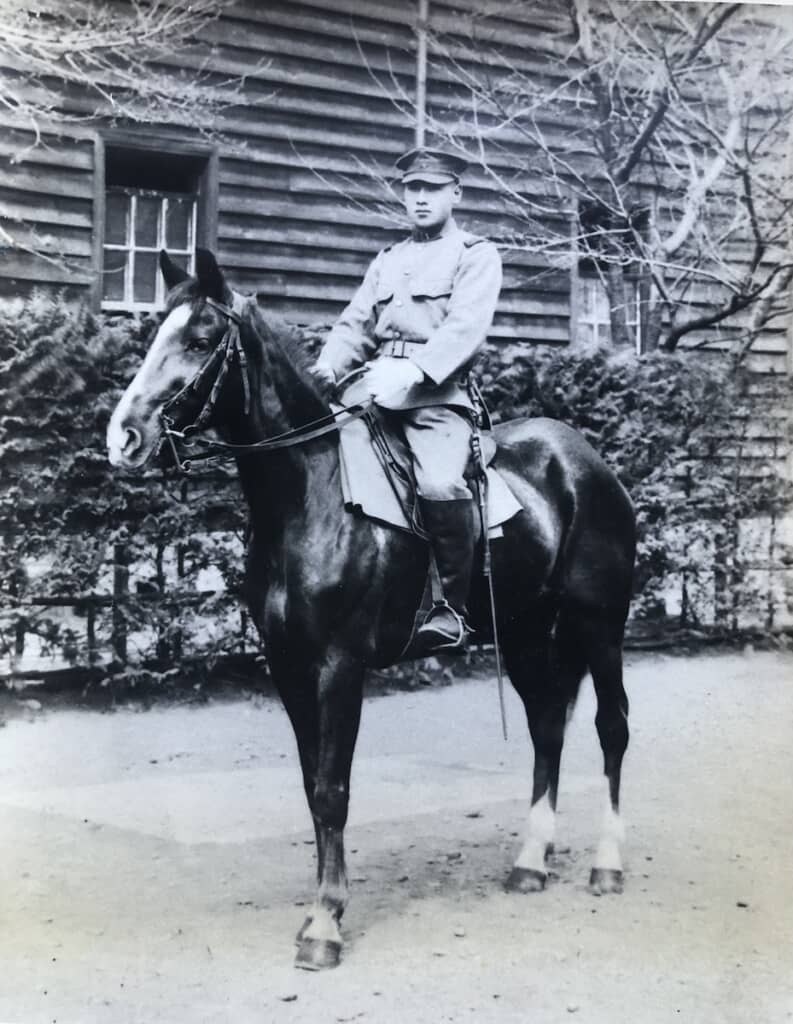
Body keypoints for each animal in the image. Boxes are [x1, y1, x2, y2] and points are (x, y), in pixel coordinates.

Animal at [106, 248, 636, 971]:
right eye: (156, 333)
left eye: (199, 339)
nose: (123, 437)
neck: (310, 493)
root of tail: (584, 459)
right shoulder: (289, 668)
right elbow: (313, 788)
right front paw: (320, 906)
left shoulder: (339, 666)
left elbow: (333, 789)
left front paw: (324, 923)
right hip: (525, 631)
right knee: (548, 724)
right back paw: (531, 860)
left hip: (599, 624)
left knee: (611, 727)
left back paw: (606, 864)